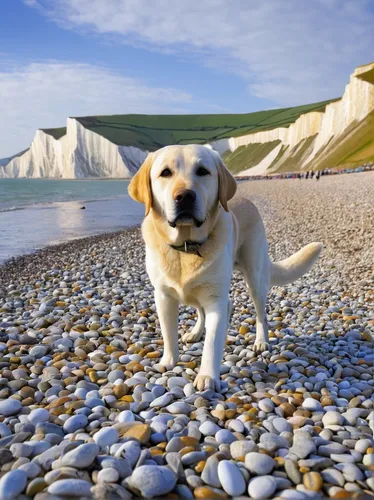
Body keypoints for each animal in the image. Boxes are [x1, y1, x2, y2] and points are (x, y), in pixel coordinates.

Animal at [129, 145, 322, 390]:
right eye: (165, 173)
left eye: (202, 171)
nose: (185, 196)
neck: (186, 247)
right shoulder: (163, 297)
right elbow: (168, 333)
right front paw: (168, 361)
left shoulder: (215, 300)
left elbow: (212, 342)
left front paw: (207, 376)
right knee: (202, 310)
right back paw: (195, 332)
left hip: (255, 278)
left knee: (260, 314)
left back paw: (261, 341)